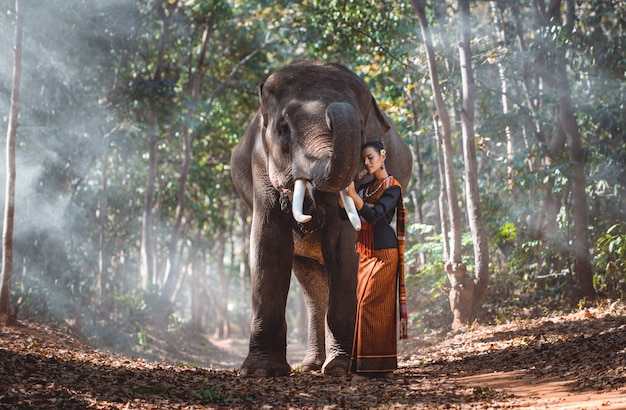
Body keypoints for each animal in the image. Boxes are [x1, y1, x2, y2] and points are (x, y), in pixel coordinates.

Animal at [229, 60, 410, 378]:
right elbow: (267, 245)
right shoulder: (260, 165)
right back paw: (312, 365)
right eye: (283, 129)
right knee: (311, 287)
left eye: (361, 129)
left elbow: (345, 246)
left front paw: (339, 368)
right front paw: (261, 371)